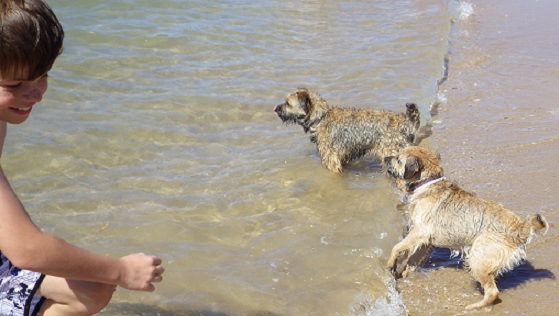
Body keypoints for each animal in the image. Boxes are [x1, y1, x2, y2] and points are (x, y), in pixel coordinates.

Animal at [382, 147, 548, 310]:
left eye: (398, 159)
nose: (385, 158)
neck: (427, 183)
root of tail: (520, 228)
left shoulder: (419, 232)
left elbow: (397, 247)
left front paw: (390, 264)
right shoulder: (425, 241)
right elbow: (412, 259)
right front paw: (402, 274)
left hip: (479, 258)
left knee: (492, 292)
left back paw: (474, 306)